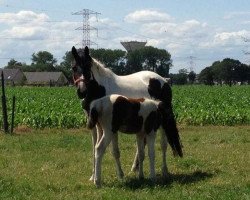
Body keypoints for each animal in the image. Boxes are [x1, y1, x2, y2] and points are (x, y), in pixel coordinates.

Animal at [71, 46, 183, 180]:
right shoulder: (95, 125)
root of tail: (164, 80)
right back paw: (135, 167)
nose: (82, 91)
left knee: (163, 144)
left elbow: (114, 151)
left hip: (161, 120)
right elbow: (94, 148)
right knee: (143, 143)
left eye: (88, 66)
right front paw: (93, 176)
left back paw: (164, 170)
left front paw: (120, 174)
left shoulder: (111, 126)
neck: (98, 89)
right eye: (74, 67)